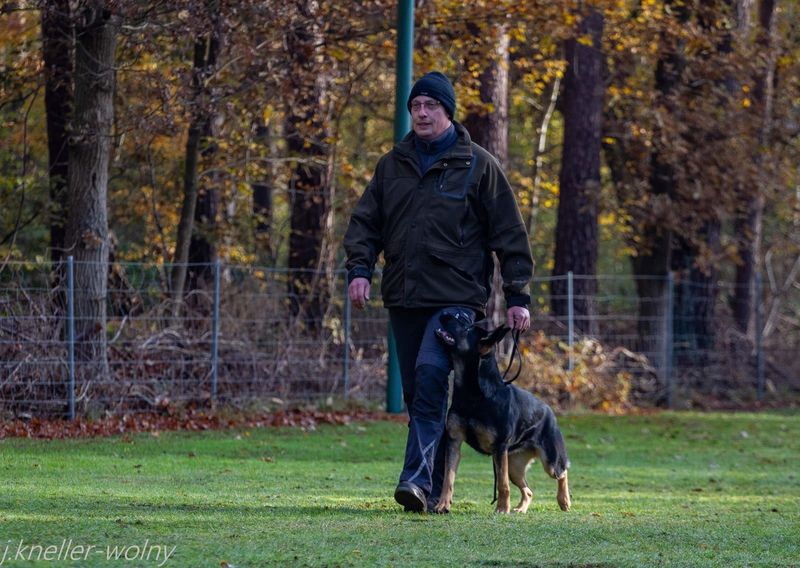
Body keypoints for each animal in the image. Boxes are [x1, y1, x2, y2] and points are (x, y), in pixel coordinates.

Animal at [434, 316, 572, 516]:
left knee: (562, 472)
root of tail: (548, 409)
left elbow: (502, 484)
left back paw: (564, 500)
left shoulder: (499, 448)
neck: (474, 394)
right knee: (528, 490)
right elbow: (448, 478)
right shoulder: (454, 442)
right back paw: (521, 509)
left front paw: (501, 508)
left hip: (549, 462)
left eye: (467, 328)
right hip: (514, 467)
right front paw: (443, 505)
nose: (444, 313)